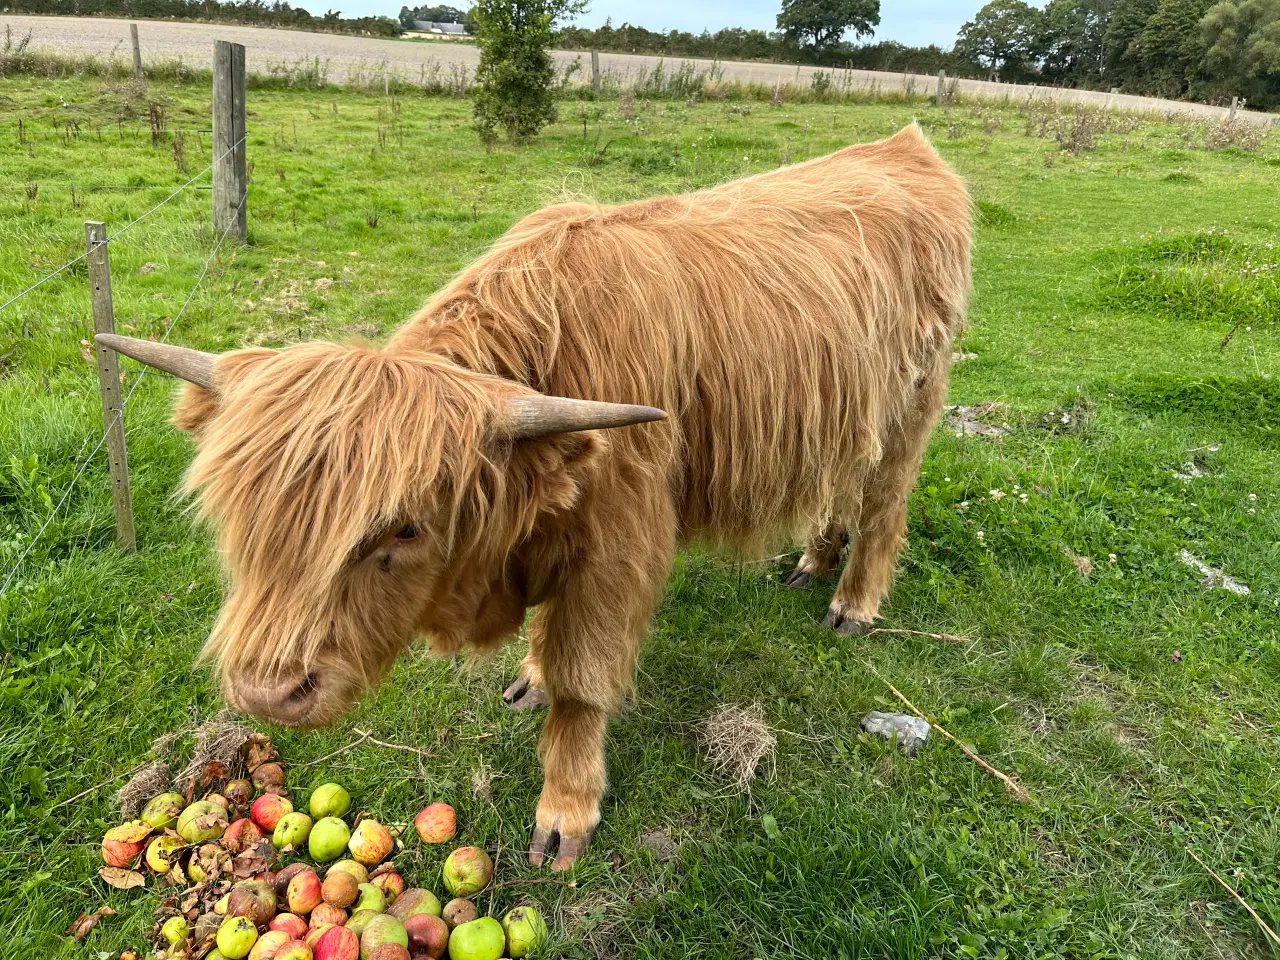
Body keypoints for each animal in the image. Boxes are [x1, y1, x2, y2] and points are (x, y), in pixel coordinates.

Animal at [102, 122, 967, 870]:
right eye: (236, 516)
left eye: (404, 529)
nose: (266, 692)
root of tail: (902, 146)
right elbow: (551, 643)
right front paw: (531, 676)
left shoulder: (617, 547)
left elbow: (583, 681)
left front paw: (566, 810)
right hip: (848, 409)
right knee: (842, 483)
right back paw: (812, 561)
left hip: (915, 403)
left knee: (884, 502)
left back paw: (852, 602)